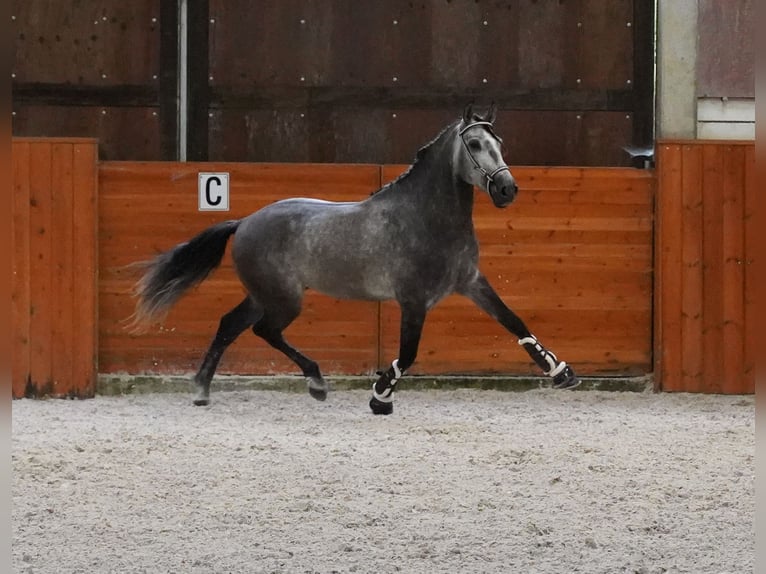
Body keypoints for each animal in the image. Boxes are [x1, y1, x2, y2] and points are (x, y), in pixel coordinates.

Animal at [130, 106, 584, 414]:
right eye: (474, 145)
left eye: (499, 144)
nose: (507, 190)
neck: (426, 218)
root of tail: (244, 222)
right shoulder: (413, 299)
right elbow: (409, 353)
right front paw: (381, 396)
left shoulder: (471, 282)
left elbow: (515, 322)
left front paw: (561, 372)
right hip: (282, 299)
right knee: (264, 331)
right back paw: (315, 382)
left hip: (265, 296)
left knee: (230, 325)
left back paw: (203, 390)